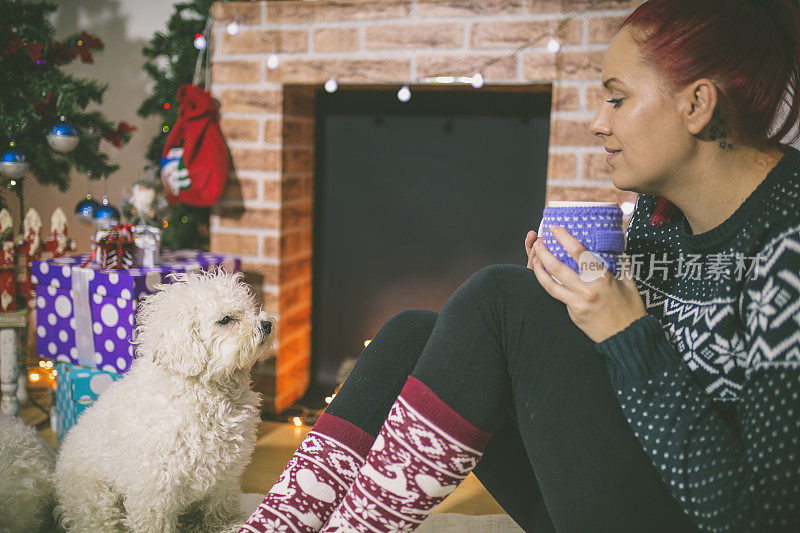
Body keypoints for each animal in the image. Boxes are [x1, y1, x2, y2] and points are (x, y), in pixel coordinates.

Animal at [54, 272, 276, 528]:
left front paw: (227, 525)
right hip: (99, 501)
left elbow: (220, 508)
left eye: (250, 308)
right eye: (225, 319)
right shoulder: (154, 487)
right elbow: (154, 521)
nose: (267, 324)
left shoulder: (225, 475)